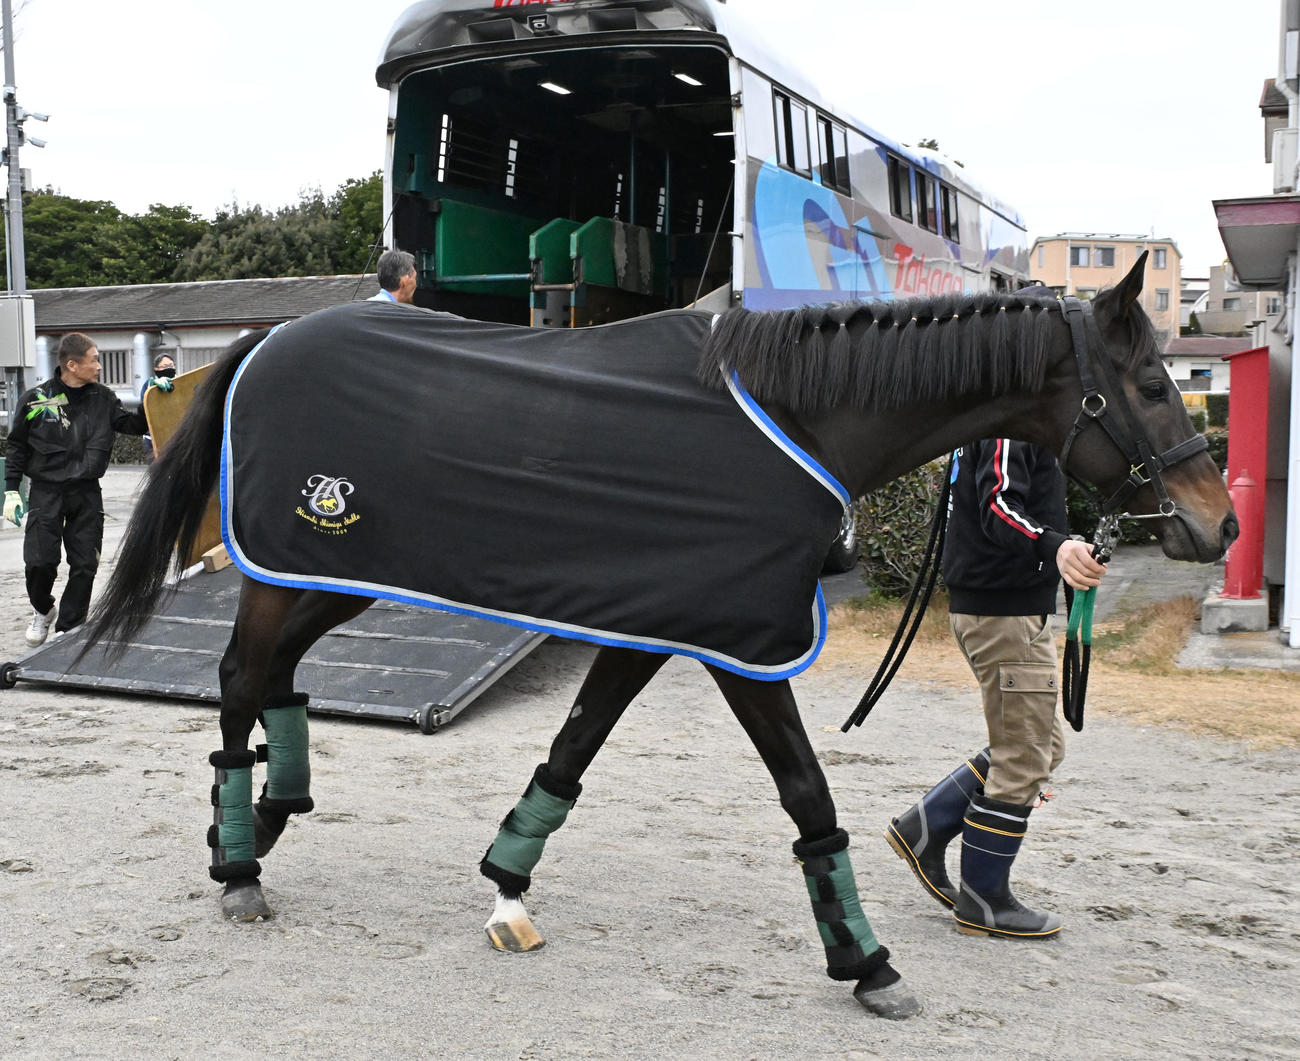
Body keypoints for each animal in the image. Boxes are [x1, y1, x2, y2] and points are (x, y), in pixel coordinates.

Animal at [82, 252, 1235, 1021]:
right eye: (1147, 382)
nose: (1217, 524)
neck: (796, 419)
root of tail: (268, 340)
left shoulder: (656, 626)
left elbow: (572, 750)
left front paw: (507, 883)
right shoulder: (743, 642)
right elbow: (807, 794)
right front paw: (865, 960)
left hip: (340, 571)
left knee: (276, 673)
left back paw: (265, 819)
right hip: (298, 564)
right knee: (242, 671)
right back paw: (241, 864)